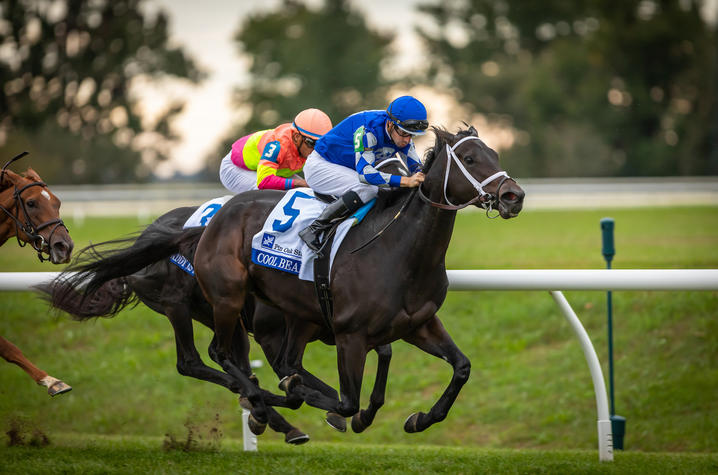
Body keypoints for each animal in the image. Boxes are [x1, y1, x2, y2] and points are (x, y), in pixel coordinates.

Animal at [194, 126, 524, 432]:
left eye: (494, 154)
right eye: (469, 159)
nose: (514, 196)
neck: (397, 250)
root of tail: (222, 212)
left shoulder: (417, 324)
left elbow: (461, 367)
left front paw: (419, 419)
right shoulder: (350, 336)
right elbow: (347, 402)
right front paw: (322, 403)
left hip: (299, 314)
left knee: (287, 362)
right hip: (229, 299)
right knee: (221, 352)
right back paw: (258, 401)